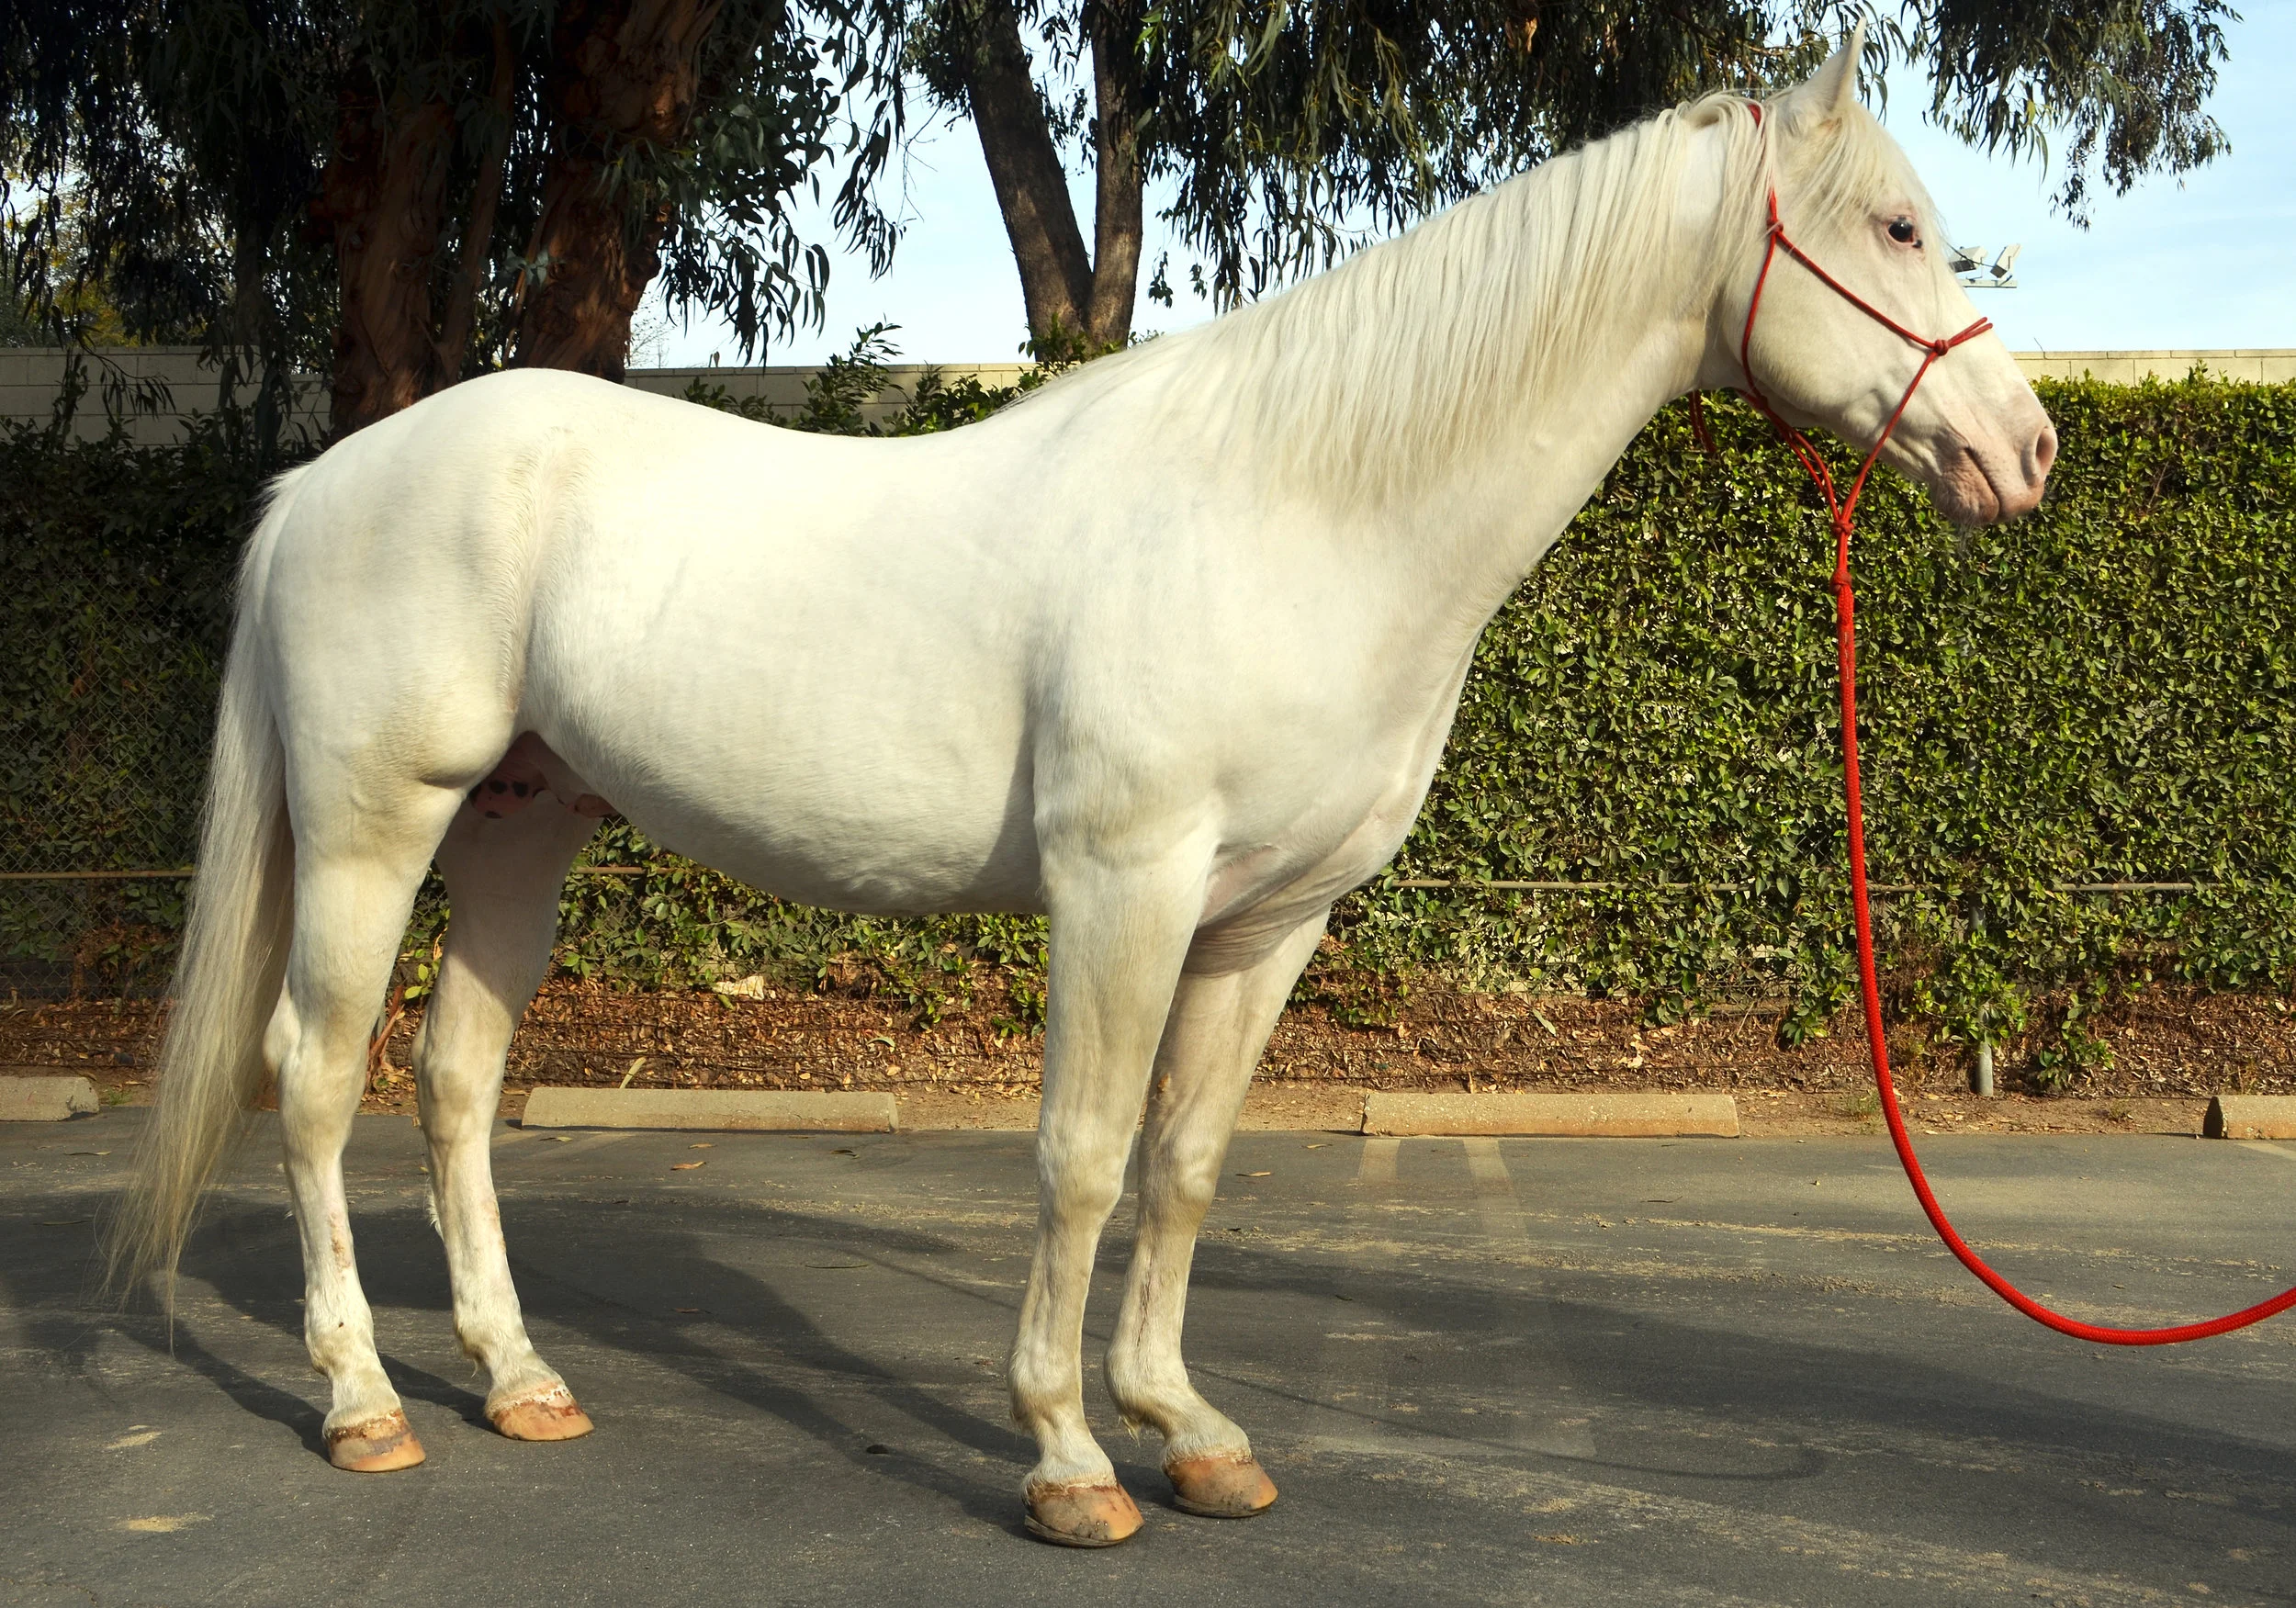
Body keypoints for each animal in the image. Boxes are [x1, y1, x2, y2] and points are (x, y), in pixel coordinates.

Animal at [111, 34, 2054, 1547]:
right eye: (1896, 226)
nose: (2024, 453)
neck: (1295, 505)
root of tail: (322, 482)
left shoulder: (1268, 923)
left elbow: (1184, 1168)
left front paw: (1186, 1430)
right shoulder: (1125, 884)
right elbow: (1082, 1157)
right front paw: (1063, 1456)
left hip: (523, 827)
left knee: (451, 1081)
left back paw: (517, 1380)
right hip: (376, 827)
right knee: (310, 1078)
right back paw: (362, 1402)